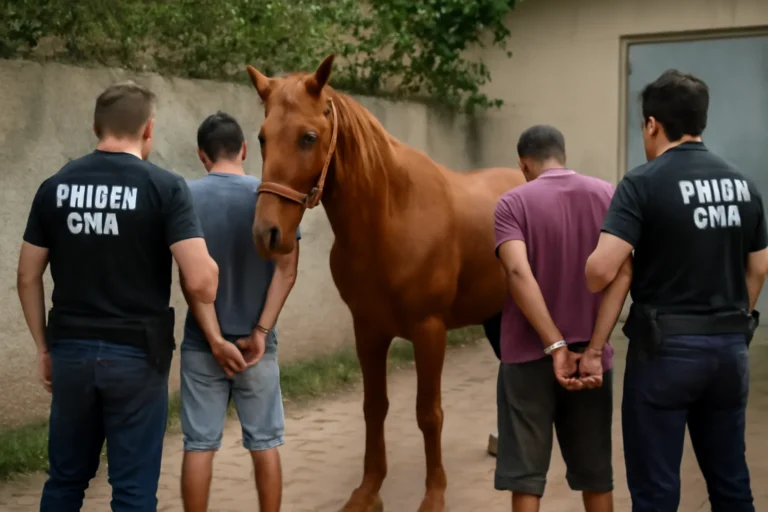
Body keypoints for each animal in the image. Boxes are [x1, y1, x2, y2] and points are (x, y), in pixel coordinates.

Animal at [246, 54, 526, 511]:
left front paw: (434, 494)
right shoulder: (368, 330)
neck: (391, 216)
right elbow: (374, 407)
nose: (267, 234)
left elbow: (429, 413)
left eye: (308, 137)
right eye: (262, 137)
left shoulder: (429, 331)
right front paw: (368, 490)